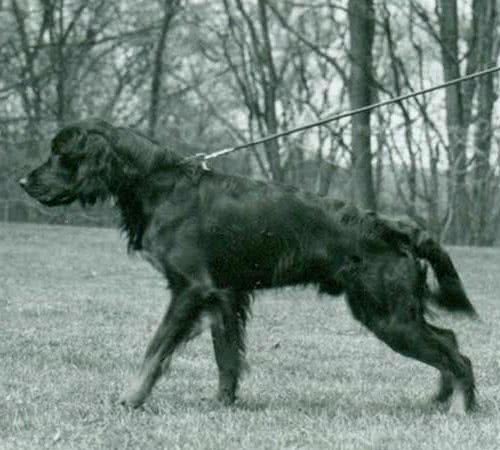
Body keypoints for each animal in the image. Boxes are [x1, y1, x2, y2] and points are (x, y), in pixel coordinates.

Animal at [19, 119, 478, 414]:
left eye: (60, 153)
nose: (23, 181)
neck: (159, 183)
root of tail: (393, 227)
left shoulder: (190, 289)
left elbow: (154, 350)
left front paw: (130, 400)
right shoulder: (223, 295)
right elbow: (226, 356)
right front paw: (223, 403)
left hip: (386, 314)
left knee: (457, 355)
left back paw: (461, 408)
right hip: (392, 312)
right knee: (449, 340)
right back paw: (442, 398)